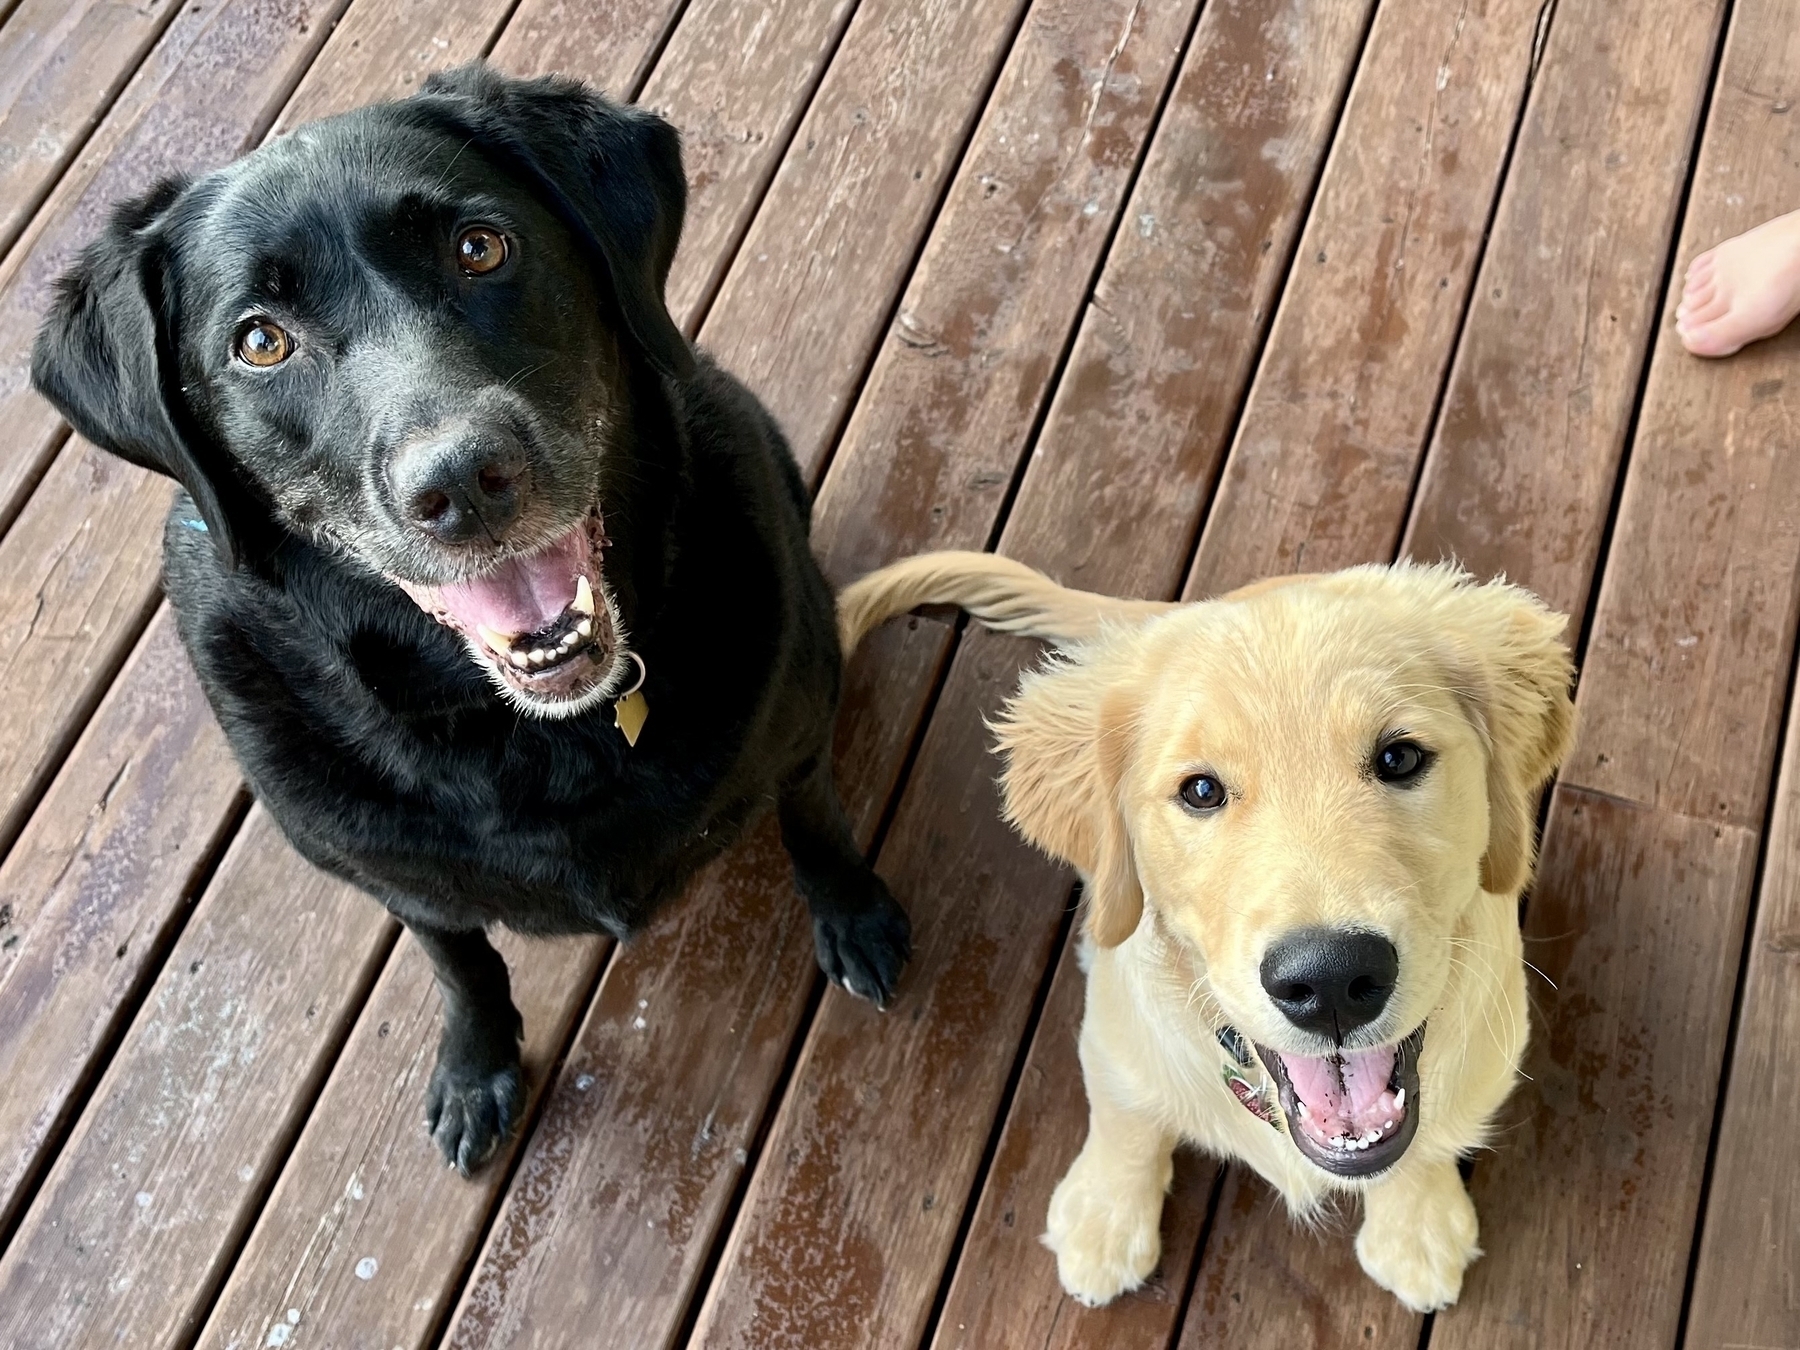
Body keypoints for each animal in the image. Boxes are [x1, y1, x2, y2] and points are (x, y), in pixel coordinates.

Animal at [31, 68, 914, 1180]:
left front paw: (854, 913)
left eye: (479, 247)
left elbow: (817, 820)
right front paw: (476, 1067)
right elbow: (462, 965)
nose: (462, 480)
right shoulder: (403, 886)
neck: (531, 733)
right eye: (260, 341)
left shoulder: (795, 728)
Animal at [835, 550, 1569, 1310]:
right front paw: (1104, 1220)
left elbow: (1430, 1144)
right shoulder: (1115, 1021)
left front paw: (1418, 1227)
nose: (1331, 980)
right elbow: (1125, 1114)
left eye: (1399, 758)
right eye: (1201, 791)